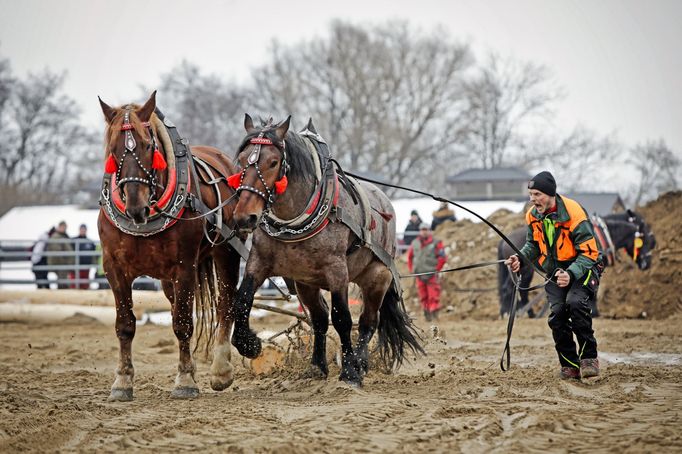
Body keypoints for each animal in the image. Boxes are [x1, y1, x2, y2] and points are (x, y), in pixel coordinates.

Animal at [97, 92, 242, 400]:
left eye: (148, 145)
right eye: (113, 148)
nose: (135, 207)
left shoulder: (184, 266)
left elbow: (183, 323)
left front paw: (185, 380)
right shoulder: (114, 267)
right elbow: (125, 325)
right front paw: (122, 382)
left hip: (227, 251)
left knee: (225, 302)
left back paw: (220, 369)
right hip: (167, 279)